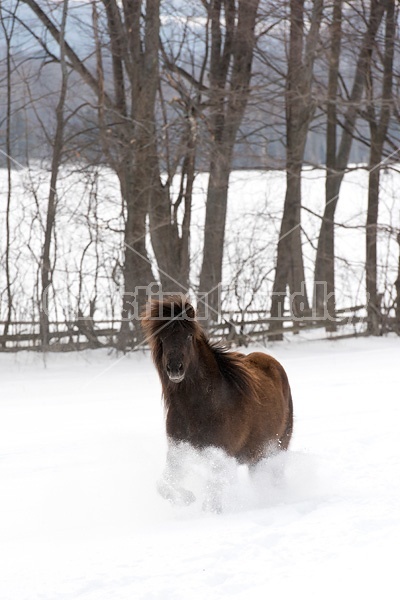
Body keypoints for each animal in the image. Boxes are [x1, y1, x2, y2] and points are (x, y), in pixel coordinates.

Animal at [142, 296, 292, 510]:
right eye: (162, 338)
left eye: (188, 336)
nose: (175, 368)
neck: (198, 407)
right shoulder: (178, 451)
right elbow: (164, 485)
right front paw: (187, 498)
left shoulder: (221, 454)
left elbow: (213, 495)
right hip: (256, 456)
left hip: (277, 447)